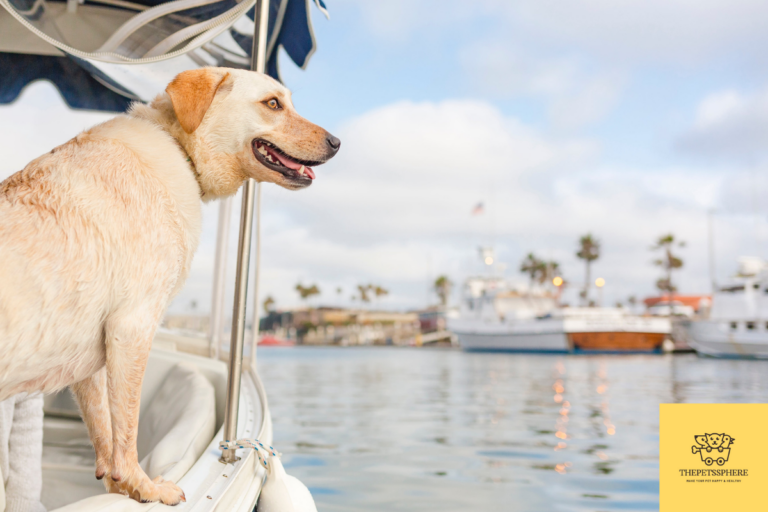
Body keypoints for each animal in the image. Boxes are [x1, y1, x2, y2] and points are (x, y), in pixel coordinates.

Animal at [0, 67, 340, 504]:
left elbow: (103, 427)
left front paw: (118, 486)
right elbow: (126, 429)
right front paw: (143, 486)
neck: (180, 146)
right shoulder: (132, 326)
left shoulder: (89, 353)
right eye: (273, 104)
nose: (337, 143)